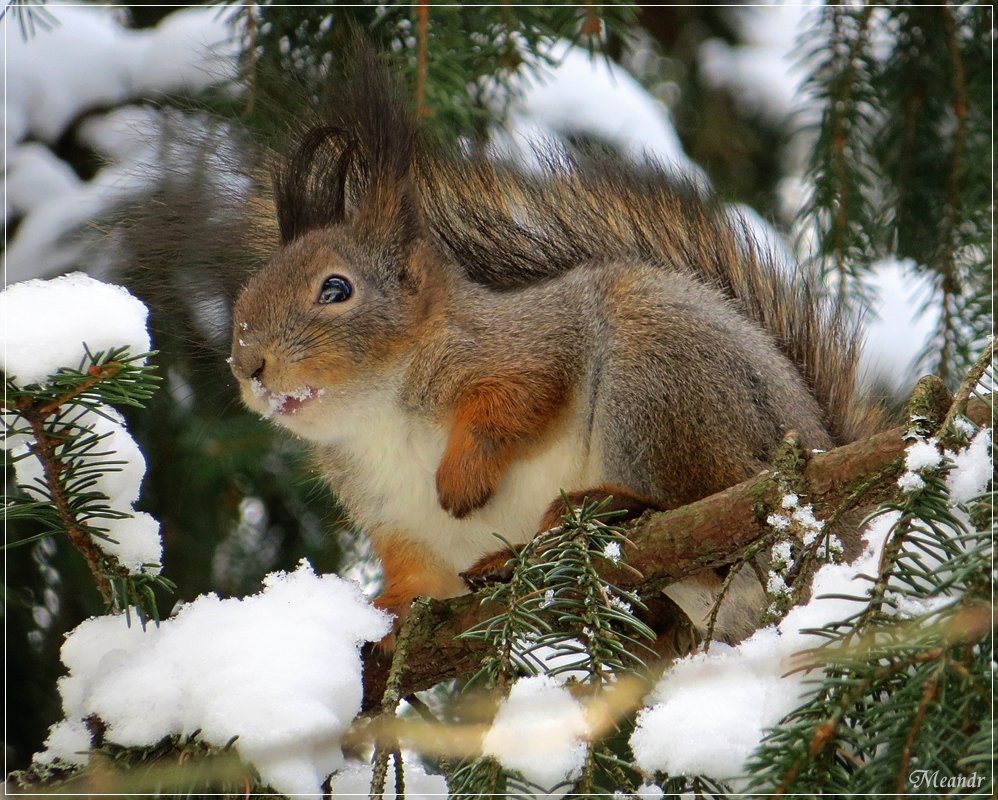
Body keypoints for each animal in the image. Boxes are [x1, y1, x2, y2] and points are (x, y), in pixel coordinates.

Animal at [229, 57, 884, 644]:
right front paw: (377, 619)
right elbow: (419, 582)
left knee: (704, 517)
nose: (248, 365)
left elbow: (519, 400)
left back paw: (611, 509)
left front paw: (462, 476)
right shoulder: (395, 519)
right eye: (247, 296)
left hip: (666, 387)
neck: (377, 414)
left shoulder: (531, 343)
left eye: (336, 289)